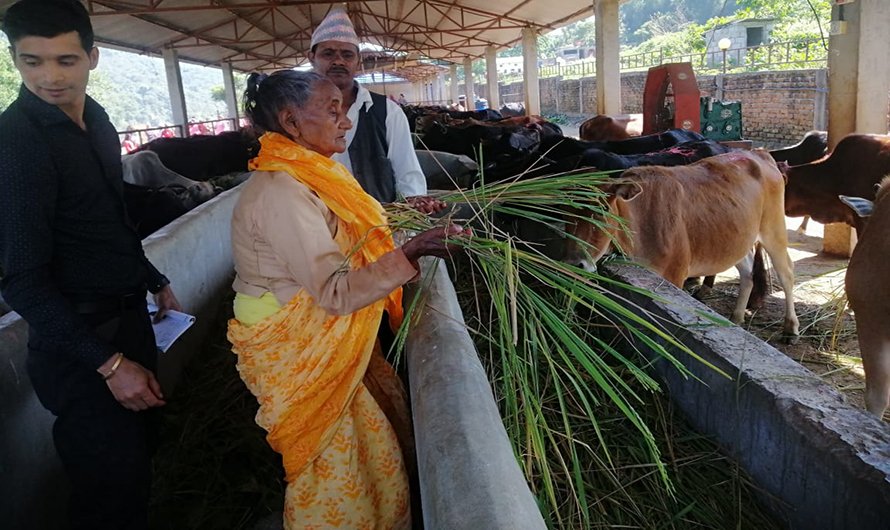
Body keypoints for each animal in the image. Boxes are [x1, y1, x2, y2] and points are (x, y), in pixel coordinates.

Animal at [564, 150, 800, 338]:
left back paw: (790, 328)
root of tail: (759, 152)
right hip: (738, 237)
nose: (575, 264)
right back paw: (737, 317)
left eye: (602, 210)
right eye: (565, 210)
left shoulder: (674, 275)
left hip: (773, 229)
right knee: (748, 272)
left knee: (786, 272)